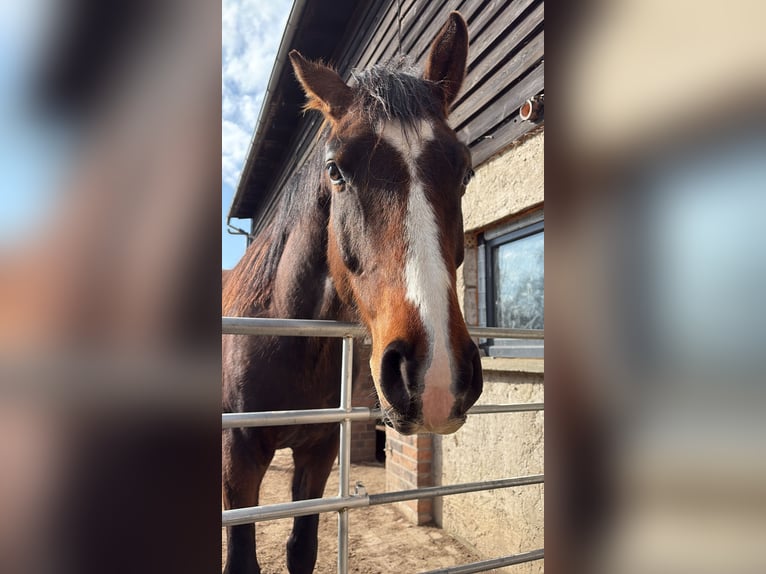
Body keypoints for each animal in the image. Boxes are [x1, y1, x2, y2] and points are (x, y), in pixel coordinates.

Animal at [222, 12, 482, 574]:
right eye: (335, 170)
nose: (435, 376)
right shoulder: (239, 457)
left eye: (465, 170)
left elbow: (302, 549)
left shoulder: (318, 452)